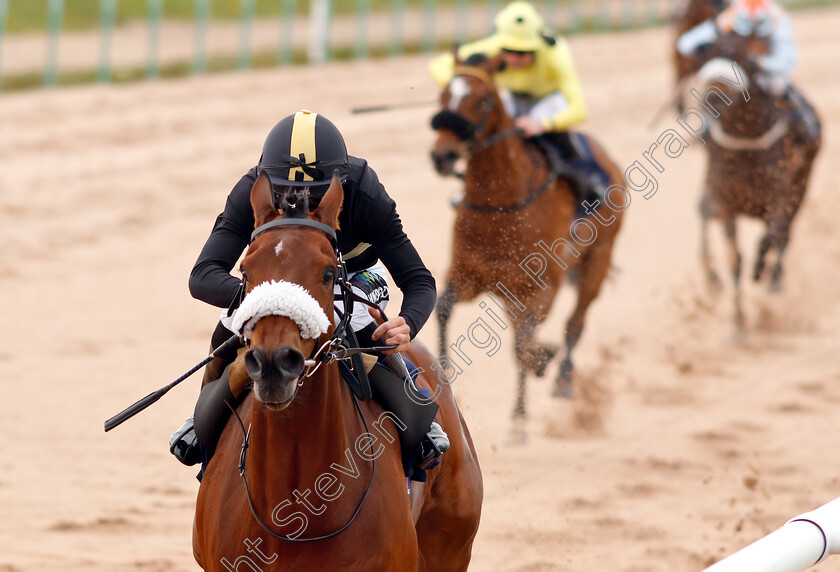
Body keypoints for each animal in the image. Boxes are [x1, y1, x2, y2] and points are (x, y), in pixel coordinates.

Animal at [434, 53, 624, 438]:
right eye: (443, 95)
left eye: (483, 100)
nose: (442, 156)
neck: (501, 206)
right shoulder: (468, 276)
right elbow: (443, 307)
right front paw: (444, 377)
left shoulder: (540, 289)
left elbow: (524, 344)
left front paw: (521, 414)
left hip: (597, 261)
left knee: (575, 323)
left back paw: (561, 380)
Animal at [684, 32, 820, 330]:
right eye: (706, 56)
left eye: (740, 57)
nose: (714, 97)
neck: (747, 144)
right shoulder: (726, 203)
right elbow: (734, 258)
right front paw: (738, 323)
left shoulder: (781, 196)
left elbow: (770, 238)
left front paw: (760, 272)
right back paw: (714, 279)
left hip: (801, 188)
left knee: (784, 236)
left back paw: (773, 280)